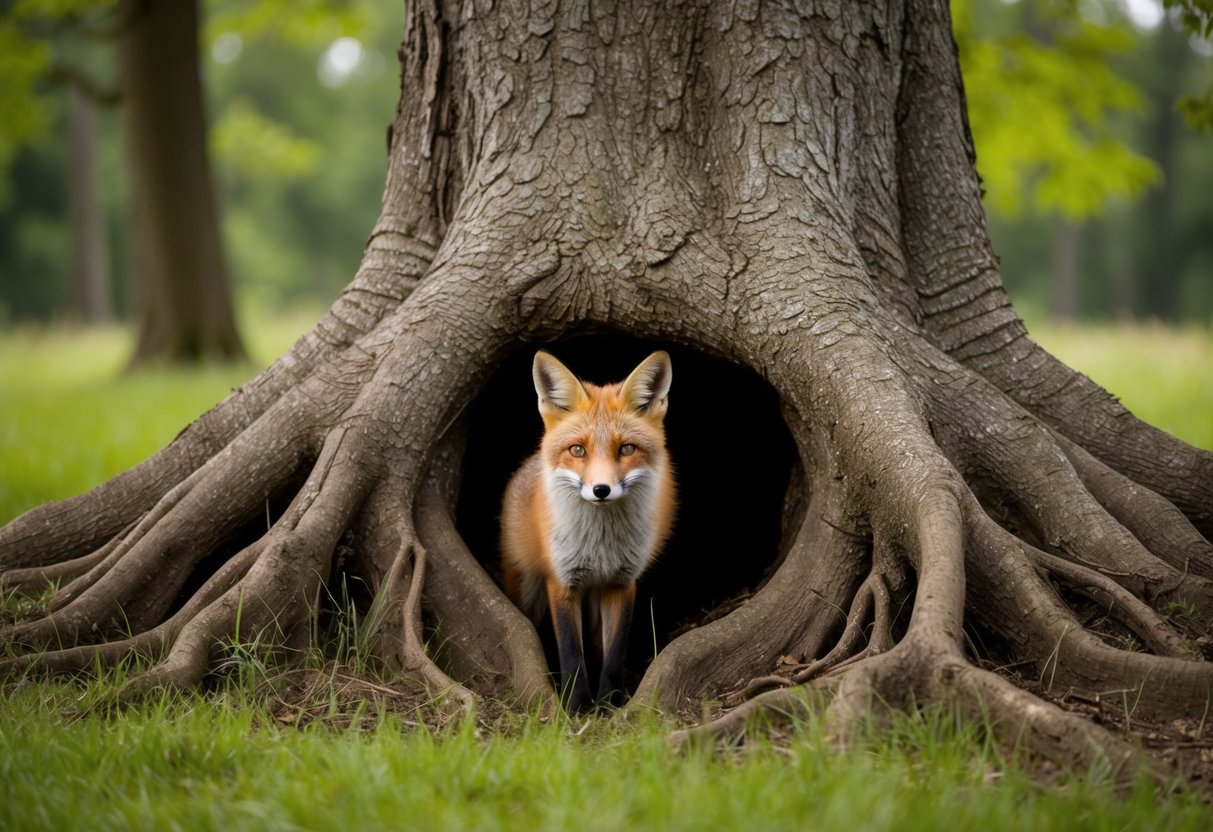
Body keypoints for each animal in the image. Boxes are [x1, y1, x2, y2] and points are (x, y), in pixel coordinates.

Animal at [500, 350, 676, 712]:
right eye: (578, 450)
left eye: (627, 449)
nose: (601, 490)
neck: (601, 547)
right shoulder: (562, 582)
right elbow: (571, 652)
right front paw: (575, 705)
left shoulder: (622, 583)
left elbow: (614, 653)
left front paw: (609, 702)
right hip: (526, 586)